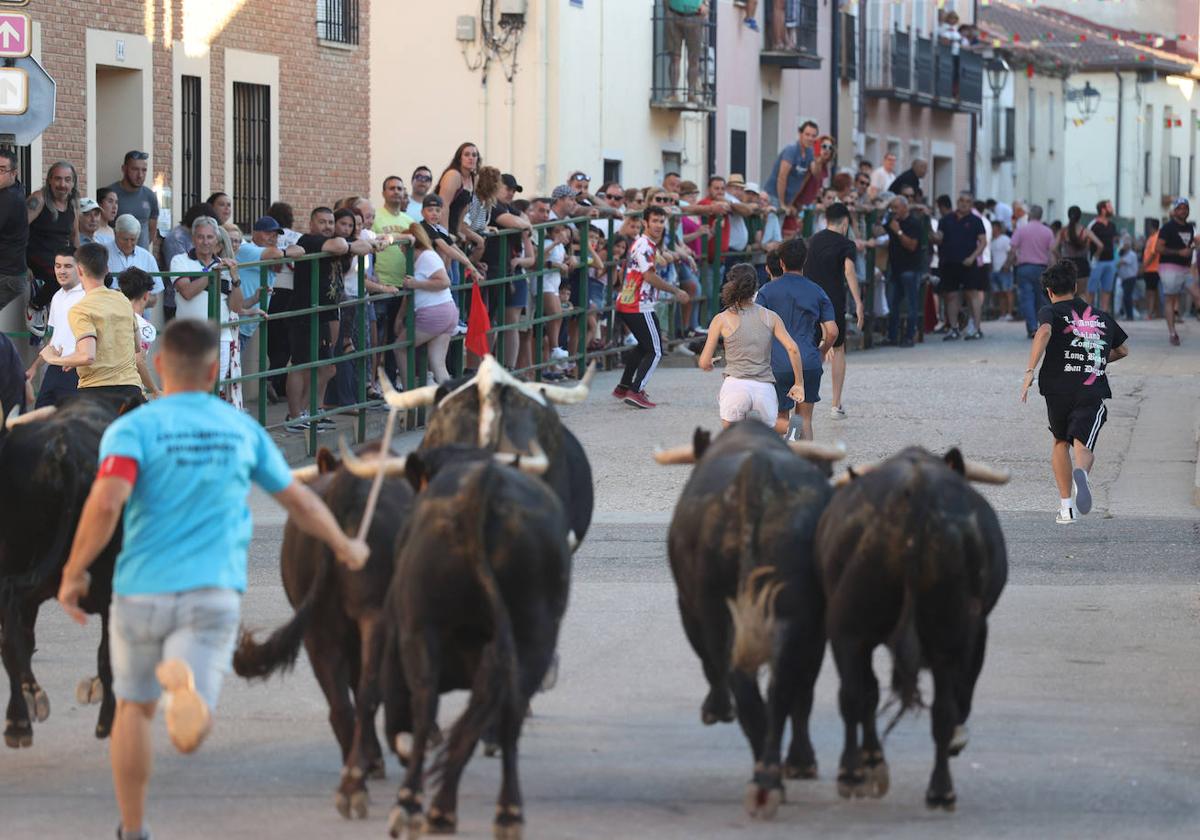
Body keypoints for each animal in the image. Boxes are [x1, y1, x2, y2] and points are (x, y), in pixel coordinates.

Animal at [379, 446, 571, 840]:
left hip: (420, 629)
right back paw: (498, 812)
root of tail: (486, 482)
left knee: (424, 707)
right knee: (509, 714)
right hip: (534, 637)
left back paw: (410, 805)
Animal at [657, 422, 844, 816]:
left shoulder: (691, 608)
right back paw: (772, 776)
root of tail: (754, 472)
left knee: (748, 685)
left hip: (718, 612)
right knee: (781, 689)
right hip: (791, 618)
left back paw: (765, 777)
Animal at [816, 448, 1012, 811]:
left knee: (858, 693)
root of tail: (917, 494)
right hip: (943, 632)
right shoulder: (978, 632)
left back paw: (866, 773)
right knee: (934, 707)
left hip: (849, 629)